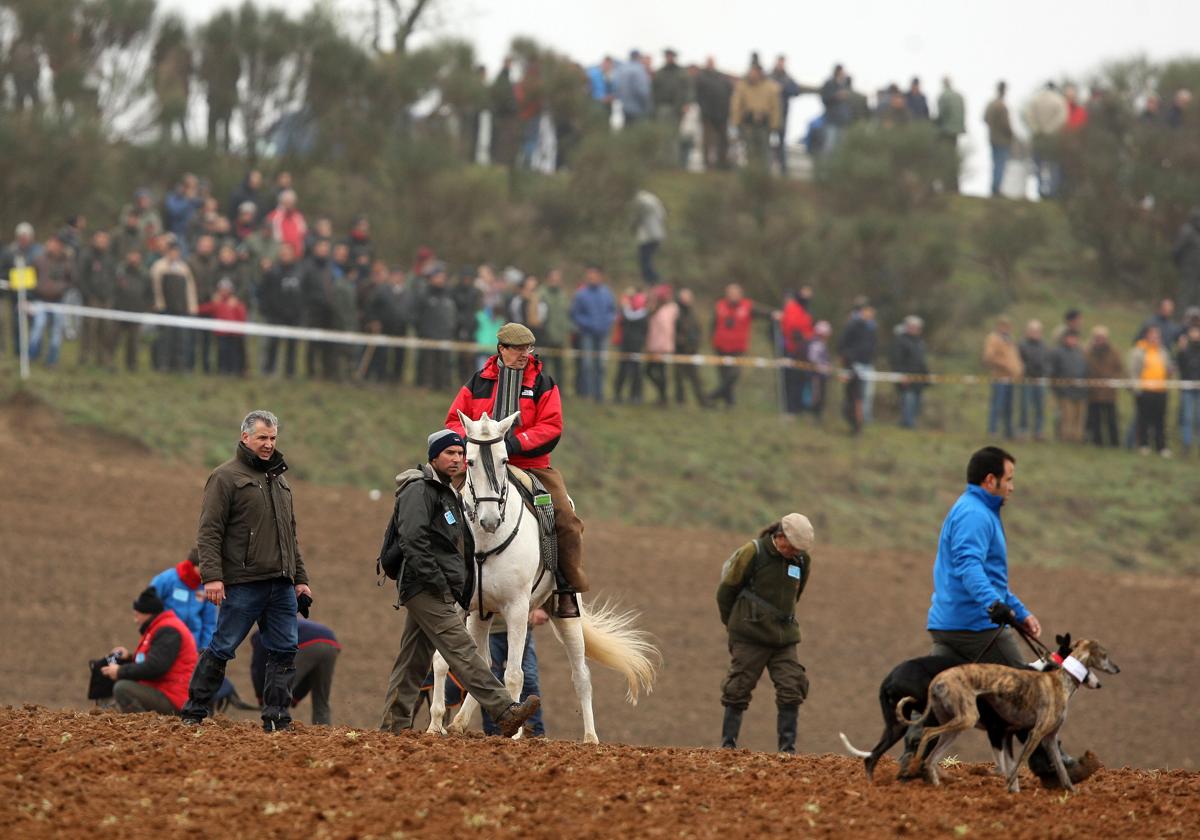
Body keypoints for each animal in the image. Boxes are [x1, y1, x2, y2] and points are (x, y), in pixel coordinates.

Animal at [427, 412, 657, 739]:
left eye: (504, 459)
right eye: (468, 461)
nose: (489, 519)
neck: (484, 543)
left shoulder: (516, 608)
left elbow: (514, 674)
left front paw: (514, 732)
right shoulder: (460, 605)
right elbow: (443, 662)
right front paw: (434, 727)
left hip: (565, 614)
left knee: (581, 675)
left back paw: (590, 738)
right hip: (482, 615)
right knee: (484, 663)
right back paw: (458, 722)